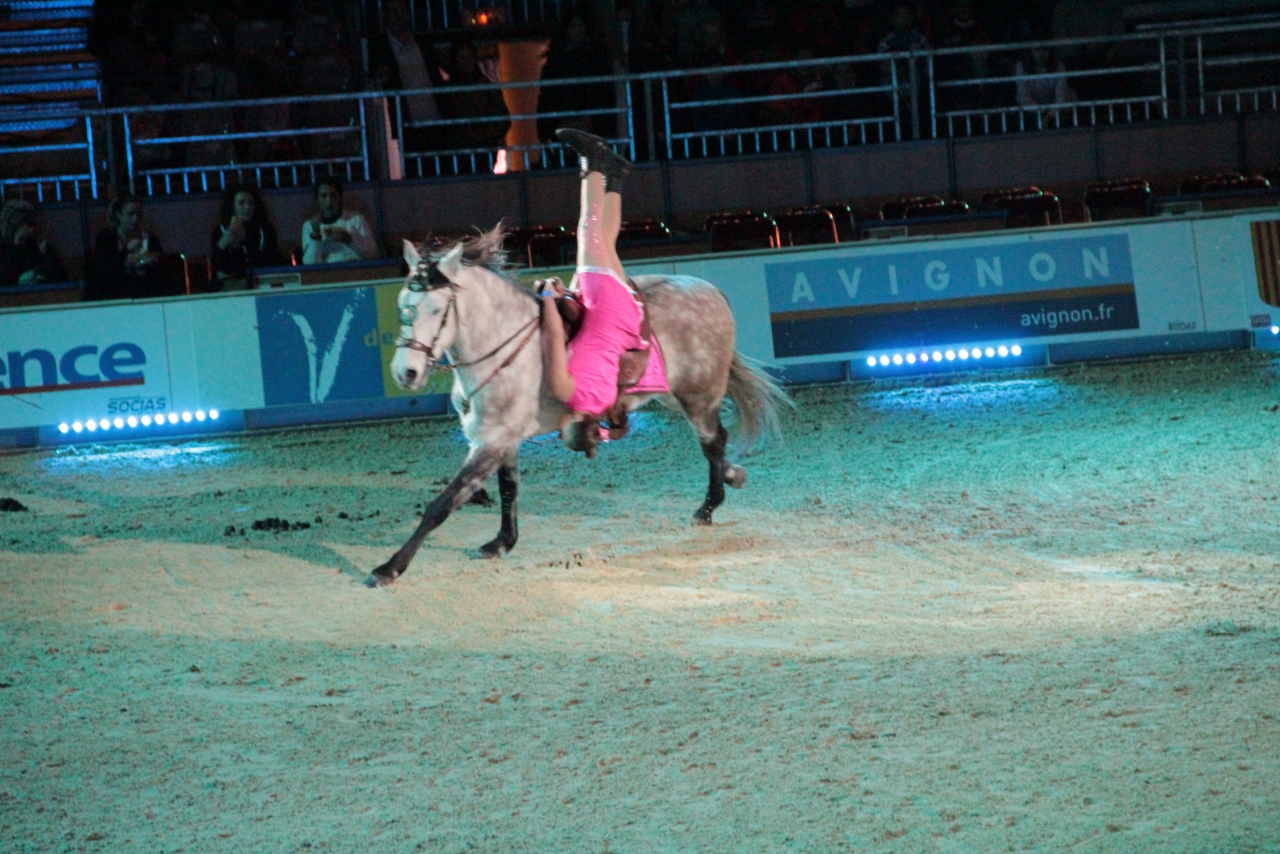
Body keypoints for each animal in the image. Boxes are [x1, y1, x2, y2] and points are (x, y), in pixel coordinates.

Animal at [368, 225, 789, 588]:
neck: (506, 347)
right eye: (403, 305)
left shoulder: (491, 441)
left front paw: (390, 567)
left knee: (713, 442)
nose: (406, 373)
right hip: (675, 393)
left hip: (697, 396)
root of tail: (710, 290)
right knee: (719, 441)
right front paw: (503, 541)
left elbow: (442, 504)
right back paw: (732, 476)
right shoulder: (503, 439)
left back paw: (708, 507)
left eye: (437, 309)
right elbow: (508, 489)